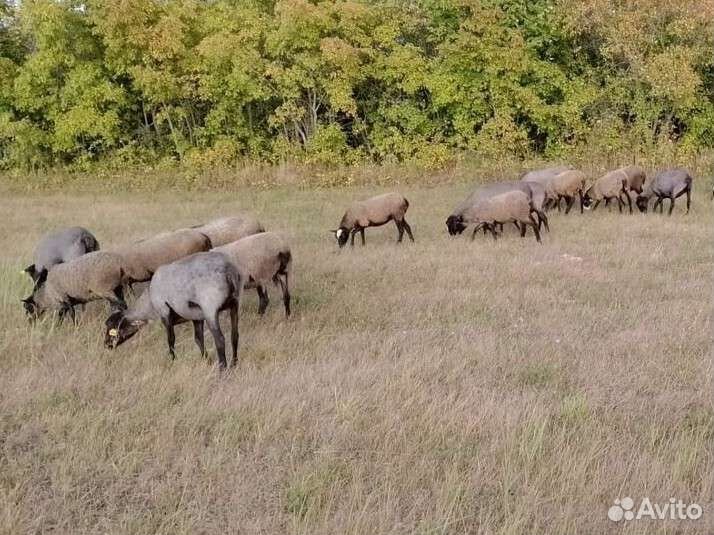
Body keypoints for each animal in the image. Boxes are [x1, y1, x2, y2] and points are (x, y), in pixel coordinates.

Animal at [105, 251, 241, 369]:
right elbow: (198, 339)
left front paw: (172, 360)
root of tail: (228, 270)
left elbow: (171, 340)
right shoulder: (196, 316)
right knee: (234, 336)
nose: (106, 345)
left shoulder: (165, 313)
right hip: (234, 304)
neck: (148, 302)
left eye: (112, 326)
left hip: (210, 309)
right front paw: (206, 360)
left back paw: (223, 369)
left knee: (220, 339)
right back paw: (234, 364)